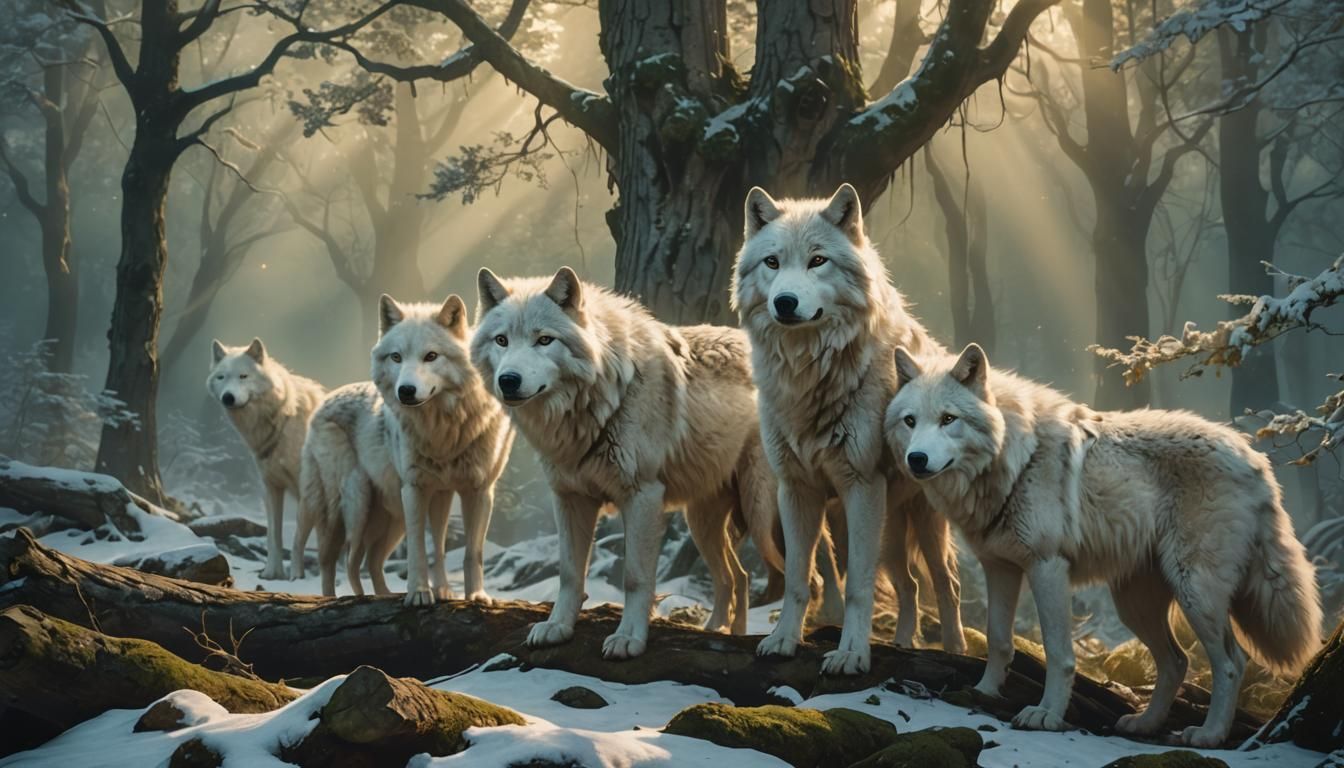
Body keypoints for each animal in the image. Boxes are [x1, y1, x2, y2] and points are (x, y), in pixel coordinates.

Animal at [208, 338, 324, 580]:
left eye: (243, 376)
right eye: (221, 377)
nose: (228, 397)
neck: (283, 421)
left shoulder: (307, 492)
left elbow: (297, 539)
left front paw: (296, 576)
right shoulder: (271, 488)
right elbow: (273, 536)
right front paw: (271, 573)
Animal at [372, 294, 515, 607]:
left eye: (431, 356)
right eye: (396, 357)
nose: (406, 391)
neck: (444, 431)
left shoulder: (480, 490)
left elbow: (474, 552)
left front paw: (476, 595)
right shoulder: (413, 488)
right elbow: (416, 550)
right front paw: (418, 593)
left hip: (441, 496)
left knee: (438, 546)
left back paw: (444, 591)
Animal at [472, 266, 796, 659]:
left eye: (544, 340)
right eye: (501, 340)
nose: (508, 381)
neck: (601, 399)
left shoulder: (642, 496)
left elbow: (634, 577)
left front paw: (628, 638)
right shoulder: (570, 498)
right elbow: (569, 573)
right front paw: (557, 627)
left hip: (762, 515)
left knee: (813, 575)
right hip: (702, 523)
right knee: (736, 578)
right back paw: (721, 632)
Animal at [732, 184, 966, 676]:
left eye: (818, 260)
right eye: (772, 262)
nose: (784, 302)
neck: (809, 376)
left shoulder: (860, 486)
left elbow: (857, 585)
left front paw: (852, 654)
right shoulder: (796, 489)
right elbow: (800, 578)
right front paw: (783, 640)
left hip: (917, 522)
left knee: (946, 584)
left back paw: (955, 652)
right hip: (885, 529)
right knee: (910, 586)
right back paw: (903, 643)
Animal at [884, 343, 1322, 746]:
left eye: (948, 419)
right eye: (910, 421)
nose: (916, 459)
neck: (1014, 458)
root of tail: (1255, 459)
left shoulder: (1047, 567)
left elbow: (1058, 652)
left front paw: (1046, 715)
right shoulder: (1000, 568)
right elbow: (998, 639)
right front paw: (985, 692)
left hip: (1195, 592)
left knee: (1232, 662)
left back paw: (1209, 734)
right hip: (1135, 603)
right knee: (1177, 661)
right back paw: (1145, 724)